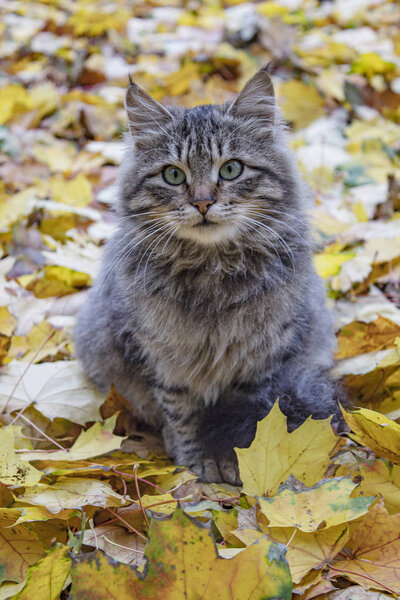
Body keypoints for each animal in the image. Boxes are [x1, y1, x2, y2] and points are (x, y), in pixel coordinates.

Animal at [76, 67, 342, 488]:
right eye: (173, 175)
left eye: (231, 169)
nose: (202, 202)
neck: (212, 272)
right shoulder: (157, 355)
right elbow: (180, 413)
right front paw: (193, 459)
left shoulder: (262, 360)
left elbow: (251, 416)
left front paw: (239, 460)